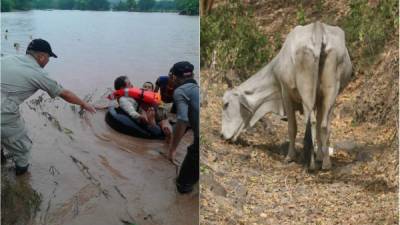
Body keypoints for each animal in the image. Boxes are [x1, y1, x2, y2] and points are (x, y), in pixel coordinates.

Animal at [220, 22, 352, 171]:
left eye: (226, 104)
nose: (222, 135)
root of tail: (318, 28)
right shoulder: (319, 100)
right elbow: (319, 127)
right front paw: (319, 156)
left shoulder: (285, 94)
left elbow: (292, 127)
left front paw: (290, 156)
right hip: (331, 91)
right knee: (324, 125)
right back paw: (326, 163)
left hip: (306, 89)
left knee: (311, 122)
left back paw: (310, 164)